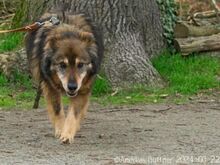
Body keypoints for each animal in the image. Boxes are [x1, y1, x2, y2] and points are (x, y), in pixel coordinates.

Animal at [25, 13, 104, 143]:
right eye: (62, 65)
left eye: (80, 65)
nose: (72, 87)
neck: (69, 32)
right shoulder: (50, 86)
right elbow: (57, 110)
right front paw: (61, 130)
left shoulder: (83, 89)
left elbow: (74, 114)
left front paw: (67, 134)